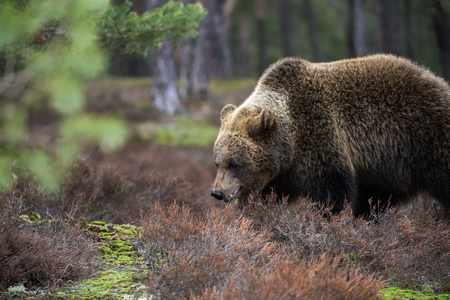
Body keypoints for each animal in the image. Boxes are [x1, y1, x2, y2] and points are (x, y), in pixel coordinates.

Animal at [211, 54, 450, 217]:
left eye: (234, 163)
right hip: (386, 170)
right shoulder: (282, 171)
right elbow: (268, 194)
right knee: (377, 199)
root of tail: (439, 82)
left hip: (427, 137)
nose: (217, 192)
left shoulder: (319, 135)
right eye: (217, 163)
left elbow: (332, 191)